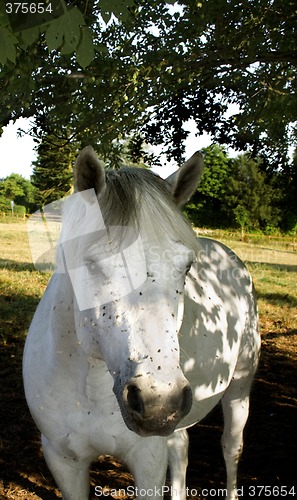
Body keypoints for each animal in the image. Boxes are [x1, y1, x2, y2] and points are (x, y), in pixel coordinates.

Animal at [23, 146, 260, 500]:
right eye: (93, 262)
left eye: (186, 266)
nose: (159, 402)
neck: (91, 389)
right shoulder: (62, 460)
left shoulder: (148, 461)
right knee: (182, 448)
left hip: (239, 387)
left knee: (231, 447)